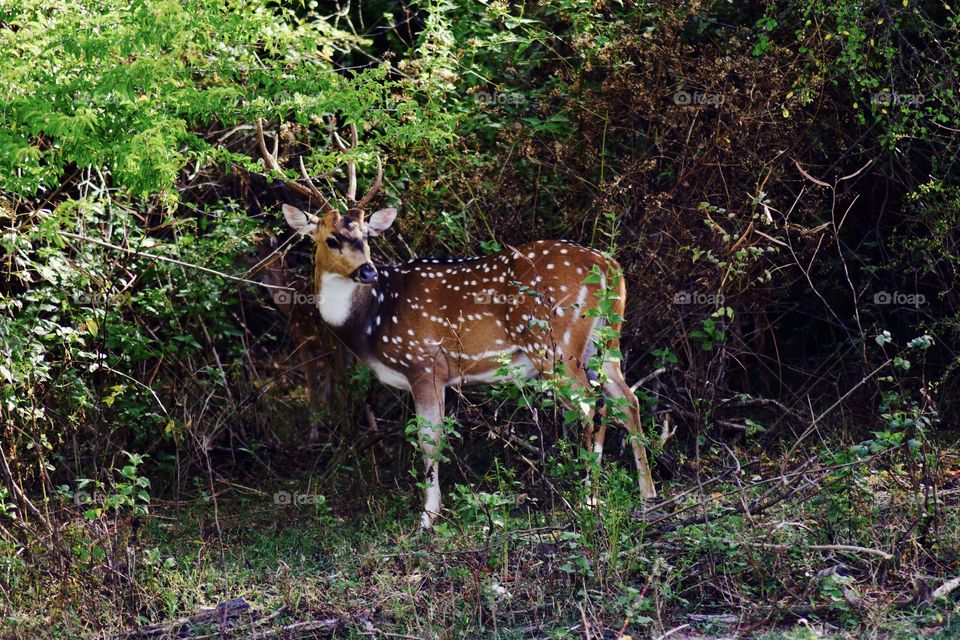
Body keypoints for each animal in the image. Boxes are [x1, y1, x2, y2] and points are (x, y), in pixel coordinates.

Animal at [255, 118, 656, 529]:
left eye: (366, 237)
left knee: (591, 406)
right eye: (332, 239)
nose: (367, 271)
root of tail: (608, 265)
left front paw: (427, 517)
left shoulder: (423, 362)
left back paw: (590, 500)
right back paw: (646, 494)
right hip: (605, 342)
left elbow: (430, 440)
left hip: (554, 343)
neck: (372, 321)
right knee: (627, 400)